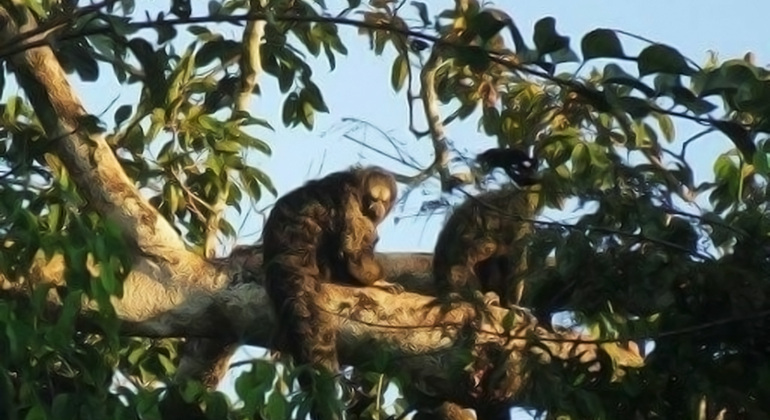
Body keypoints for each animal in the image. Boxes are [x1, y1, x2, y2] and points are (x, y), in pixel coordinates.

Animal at [260, 166, 402, 418]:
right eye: (372, 199)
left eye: (383, 201)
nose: (377, 207)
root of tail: (289, 259)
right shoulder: (351, 202)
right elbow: (353, 251)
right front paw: (376, 282)